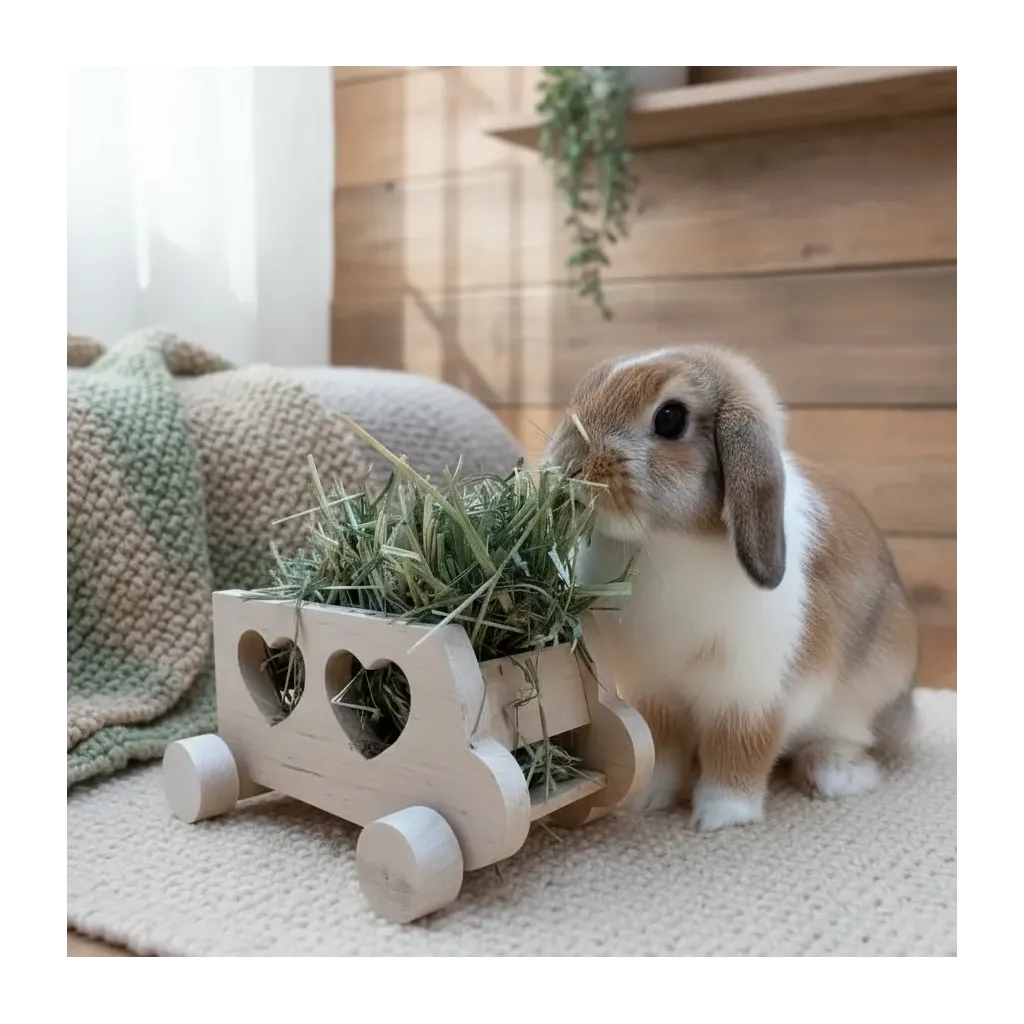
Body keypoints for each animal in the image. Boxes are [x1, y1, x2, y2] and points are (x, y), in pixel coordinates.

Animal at [544, 344, 919, 832]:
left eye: (670, 418)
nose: (567, 463)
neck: (668, 542)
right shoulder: (654, 693)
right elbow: (661, 748)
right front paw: (647, 801)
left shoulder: (749, 694)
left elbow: (739, 750)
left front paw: (720, 817)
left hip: (870, 686)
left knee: (849, 737)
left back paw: (834, 774)